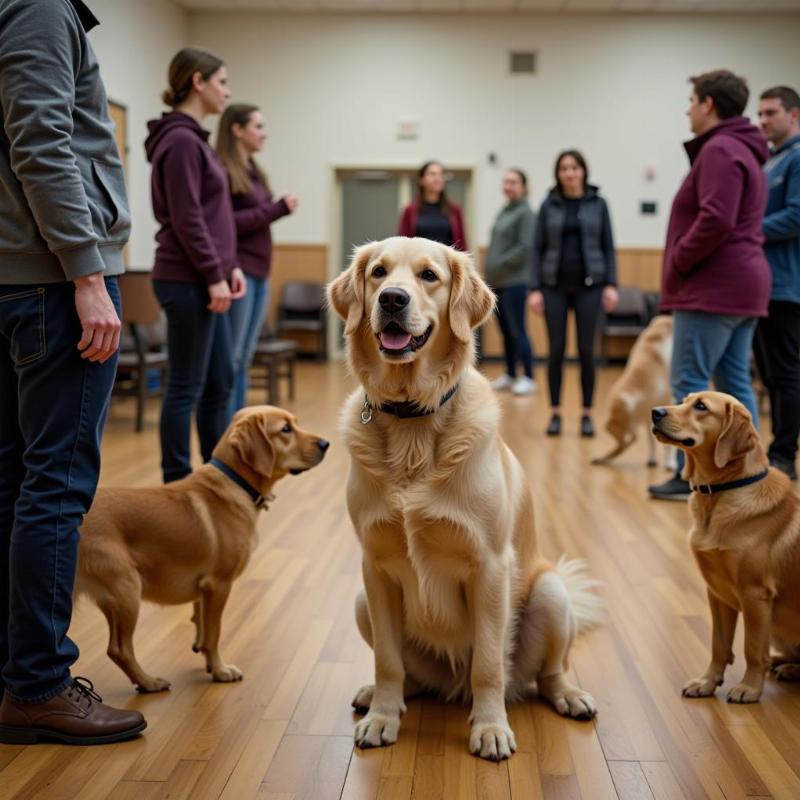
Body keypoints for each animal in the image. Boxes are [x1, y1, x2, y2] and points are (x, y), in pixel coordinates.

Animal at [77, 406, 328, 692]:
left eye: (295, 423)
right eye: (285, 429)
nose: (326, 444)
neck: (235, 482)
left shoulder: (202, 588)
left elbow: (200, 622)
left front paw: (206, 657)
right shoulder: (218, 585)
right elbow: (214, 634)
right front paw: (219, 670)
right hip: (127, 589)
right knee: (120, 649)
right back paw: (149, 682)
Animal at [326, 236, 600, 764]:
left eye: (428, 276)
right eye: (378, 272)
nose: (392, 299)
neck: (412, 420)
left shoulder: (489, 566)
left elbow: (489, 664)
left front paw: (491, 729)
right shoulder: (375, 567)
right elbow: (387, 661)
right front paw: (383, 718)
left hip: (551, 594)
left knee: (544, 674)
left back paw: (570, 696)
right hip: (361, 600)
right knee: (409, 674)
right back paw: (380, 696)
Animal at [648, 392, 800, 700]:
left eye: (701, 407)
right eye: (684, 401)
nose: (654, 412)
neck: (720, 492)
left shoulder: (755, 595)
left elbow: (752, 648)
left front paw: (749, 688)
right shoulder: (717, 592)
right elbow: (719, 644)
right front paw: (707, 682)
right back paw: (784, 664)